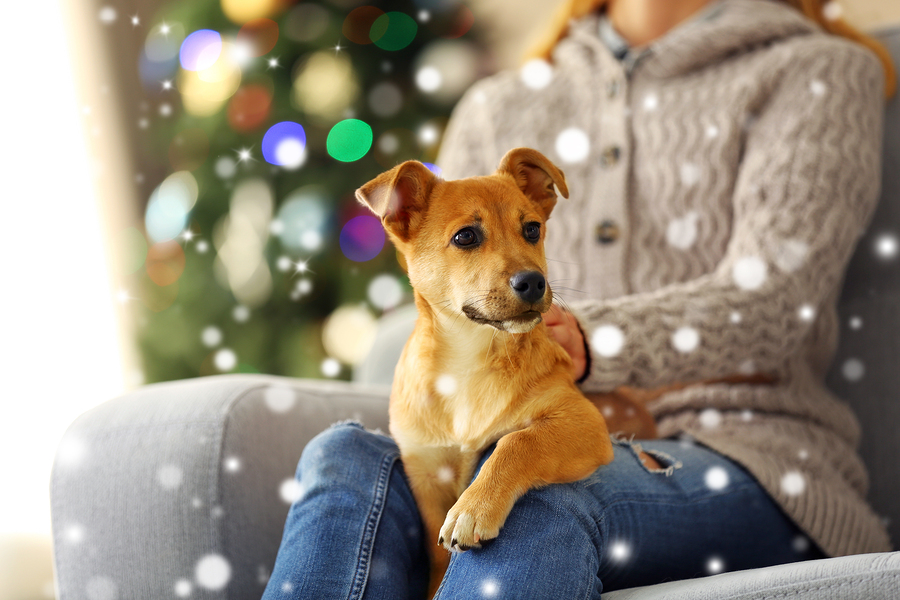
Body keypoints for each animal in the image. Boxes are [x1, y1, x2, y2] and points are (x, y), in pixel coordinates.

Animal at [356, 148, 616, 596]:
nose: (533, 282)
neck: (469, 358)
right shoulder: (426, 474)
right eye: (466, 237)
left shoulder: (584, 420)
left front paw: (473, 509)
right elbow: (437, 556)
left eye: (532, 229)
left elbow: (516, 441)